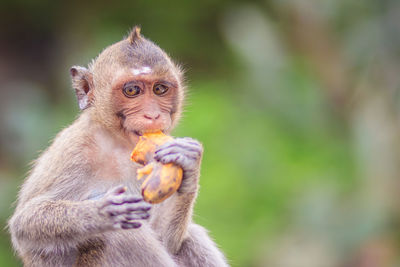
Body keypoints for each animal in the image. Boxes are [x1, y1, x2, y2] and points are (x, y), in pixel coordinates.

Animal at [7, 27, 228, 267]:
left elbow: (168, 241)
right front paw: (101, 213)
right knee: (119, 234)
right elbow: (24, 224)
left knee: (191, 236)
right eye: (132, 90)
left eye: (160, 89)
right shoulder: (74, 149)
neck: (119, 143)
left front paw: (189, 162)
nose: (153, 115)